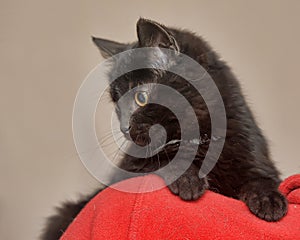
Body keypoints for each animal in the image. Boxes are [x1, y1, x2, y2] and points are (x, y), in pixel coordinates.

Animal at [39, 18, 286, 238]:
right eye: (117, 104)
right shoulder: (127, 170)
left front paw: (269, 201)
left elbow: (261, 178)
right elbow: (156, 162)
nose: (124, 128)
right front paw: (188, 181)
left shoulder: (251, 150)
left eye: (140, 98)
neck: (196, 137)